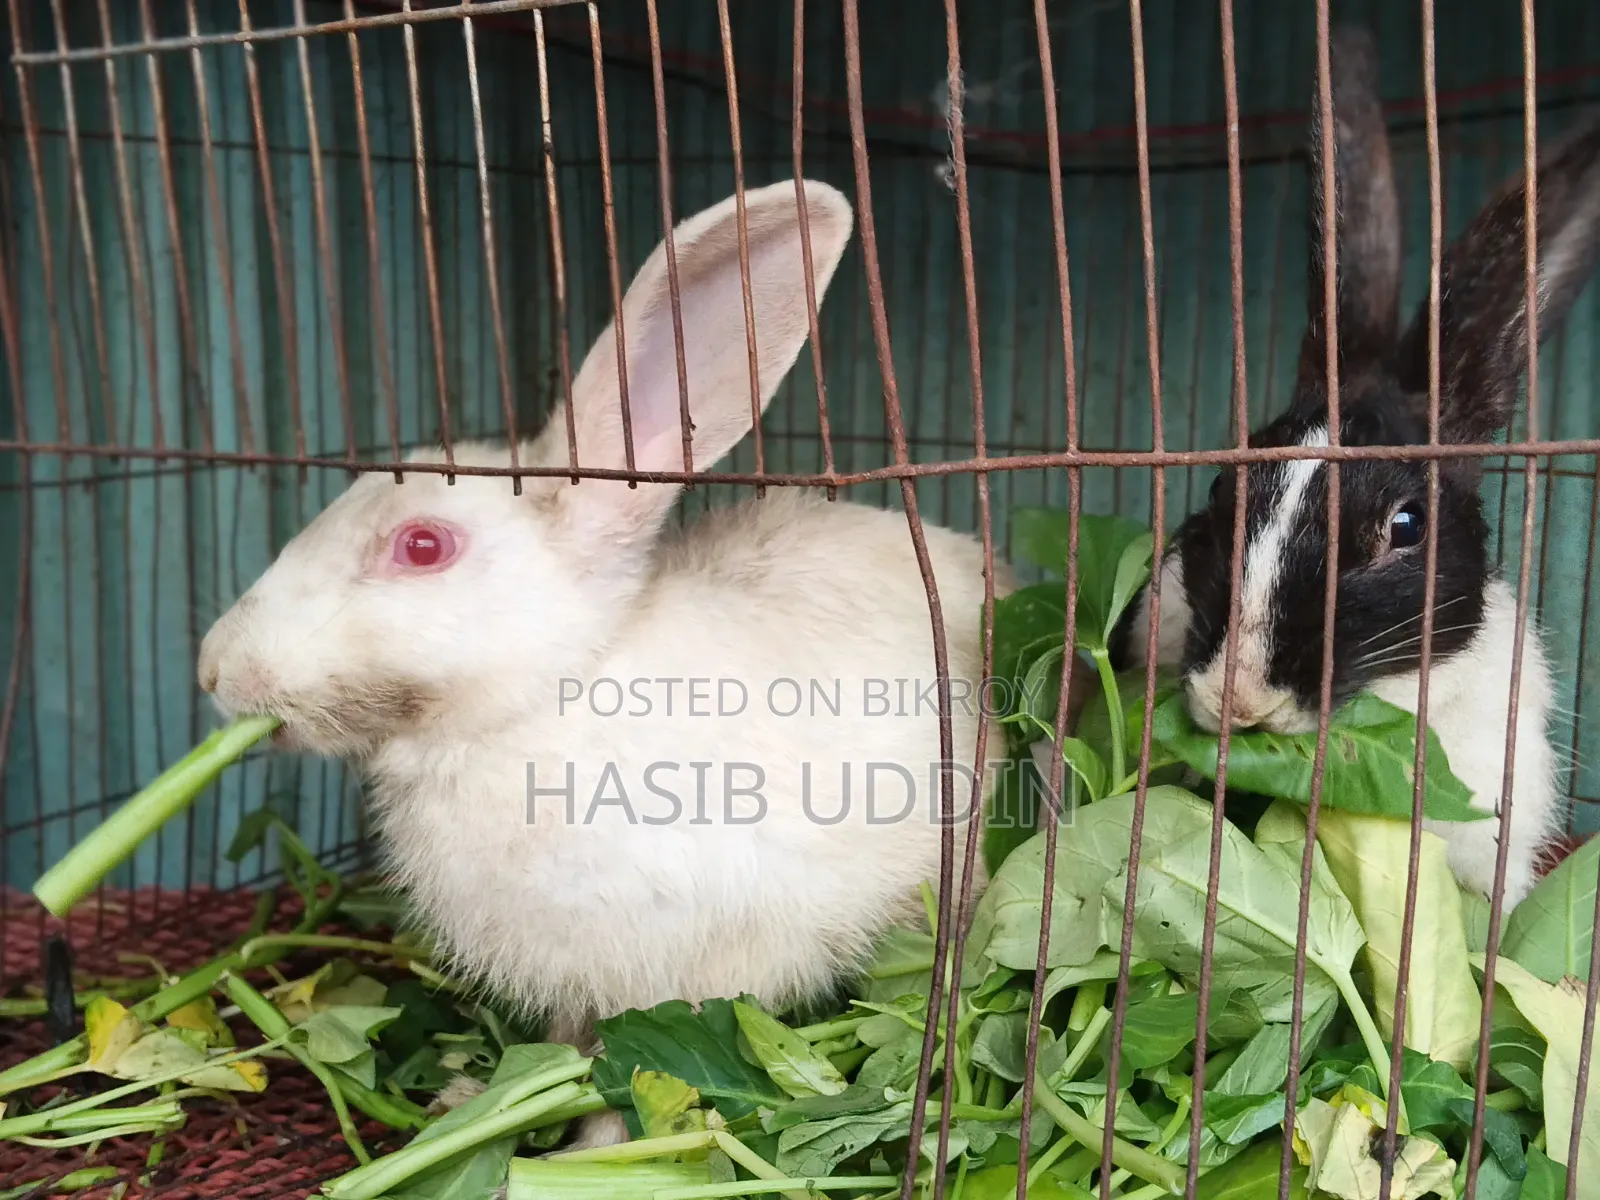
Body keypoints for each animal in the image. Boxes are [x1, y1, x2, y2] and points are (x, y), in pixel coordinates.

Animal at [196, 179, 1010, 1143]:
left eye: (423, 546)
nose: (214, 671)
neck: (544, 700)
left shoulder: (682, 968)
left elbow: (636, 1077)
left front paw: (586, 1146)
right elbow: (569, 1047)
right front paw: (482, 1102)